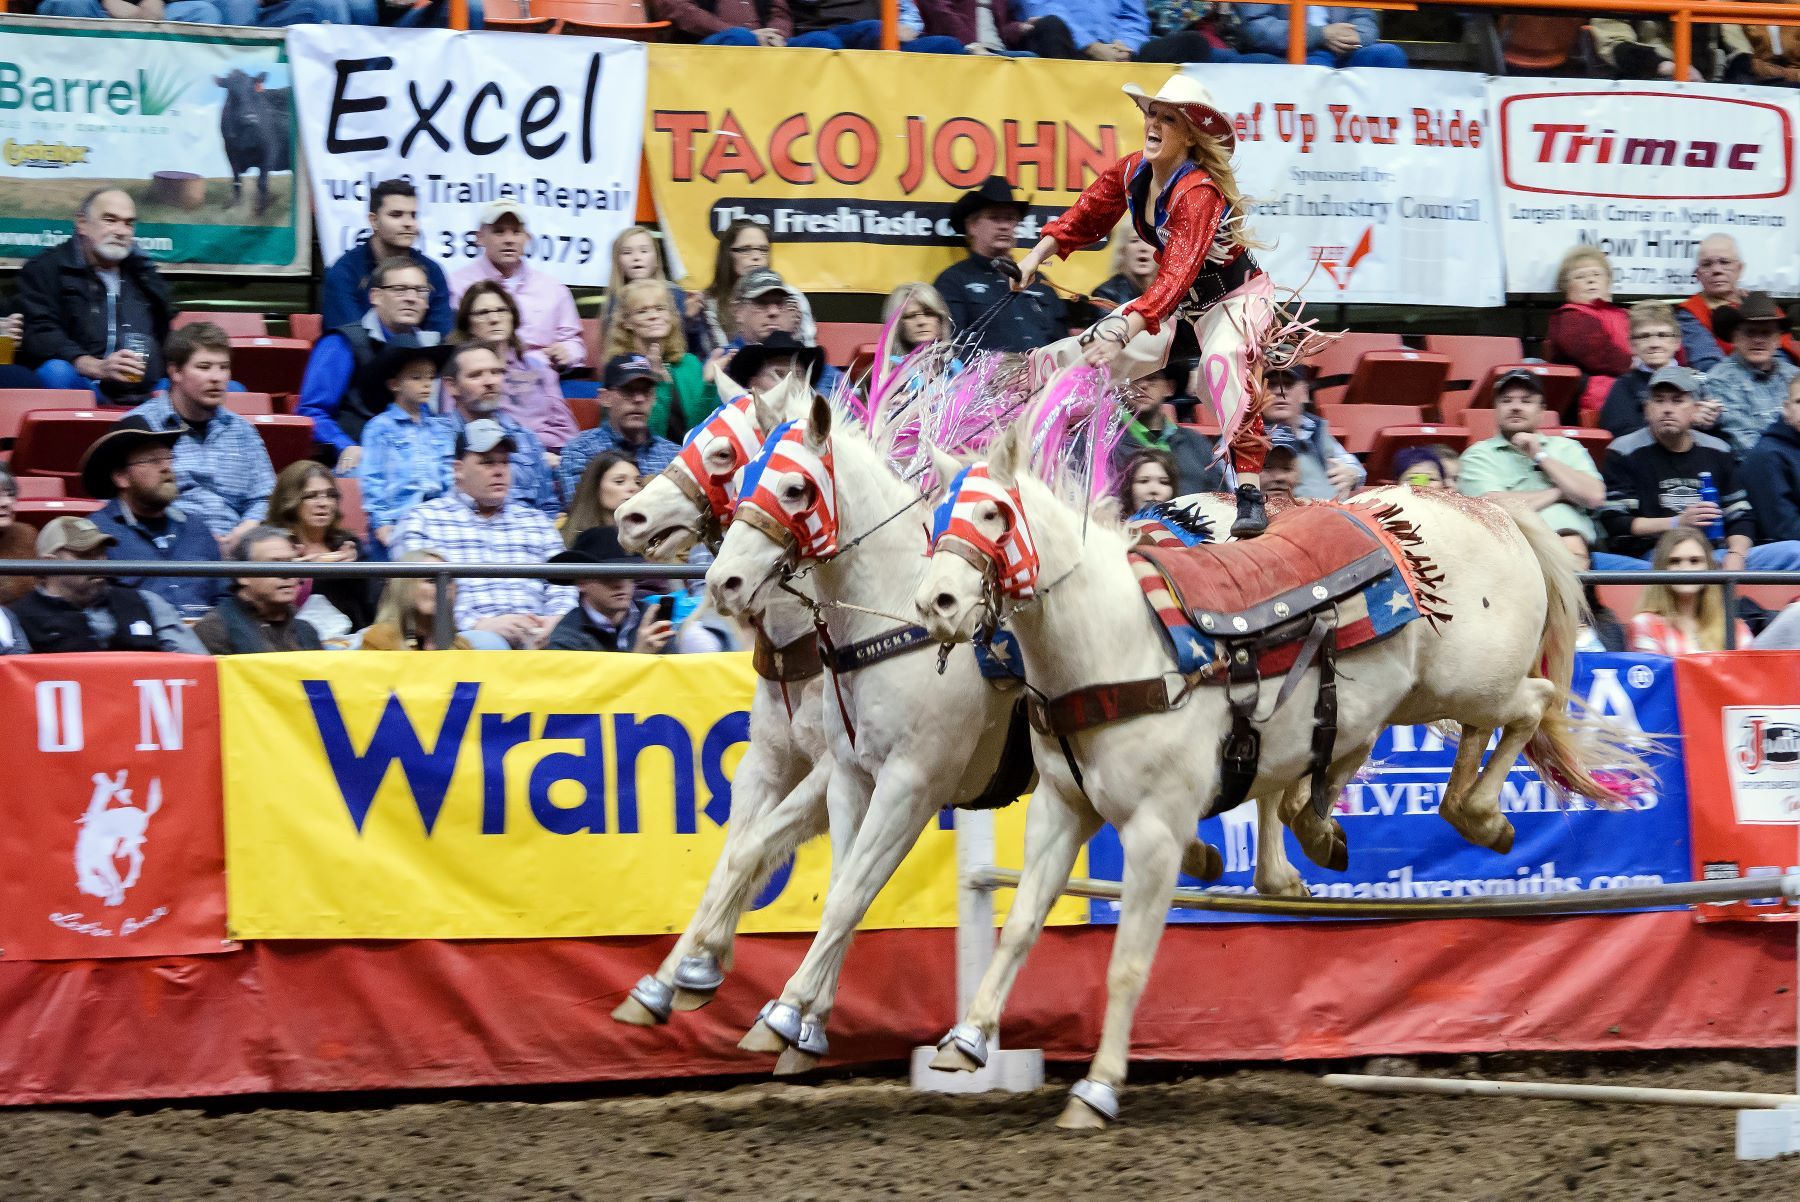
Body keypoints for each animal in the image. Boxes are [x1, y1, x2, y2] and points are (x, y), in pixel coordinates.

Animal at [914, 424, 1648, 1130]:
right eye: (936, 516)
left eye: (993, 512)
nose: (935, 602)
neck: (1119, 646)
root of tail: (1489, 511)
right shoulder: (1062, 810)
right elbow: (1021, 925)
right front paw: (968, 1040)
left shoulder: (1155, 830)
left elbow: (1127, 964)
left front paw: (1095, 1090)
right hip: (1418, 694)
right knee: (1428, 741)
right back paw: (1363, 827)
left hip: (1472, 681)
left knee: (1533, 703)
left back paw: (1480, 815)